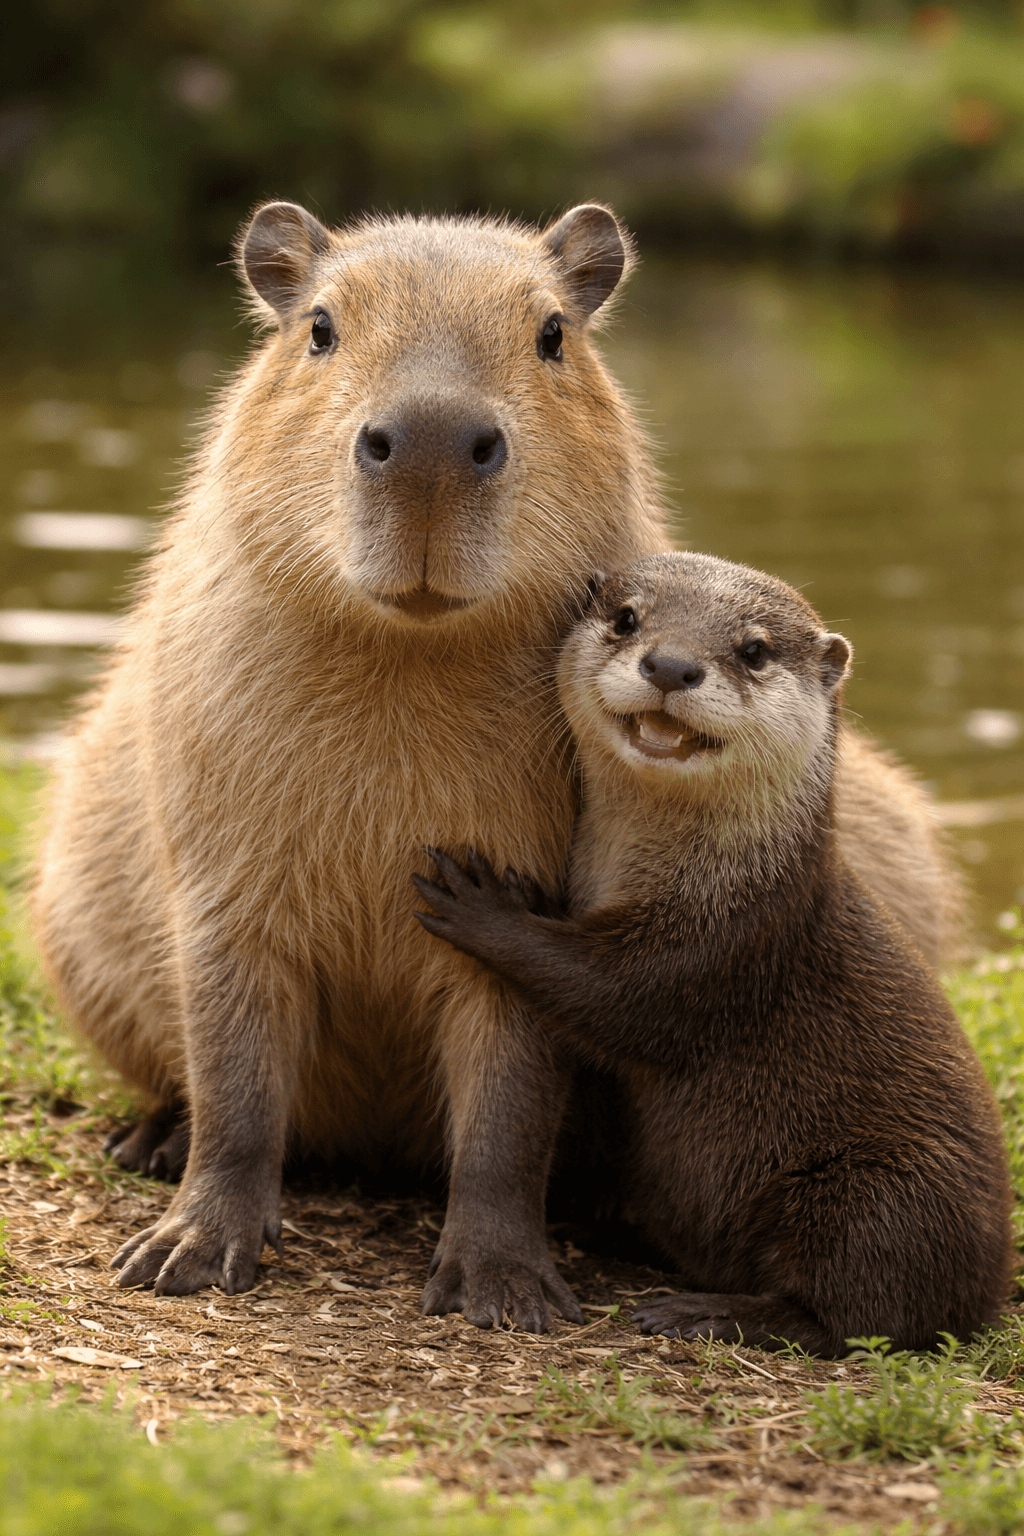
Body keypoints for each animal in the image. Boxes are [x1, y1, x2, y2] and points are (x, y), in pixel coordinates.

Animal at [34, 202, 962, 1324]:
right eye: (319, 326)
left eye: (554, 332)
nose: (432, 444)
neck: (406, 661)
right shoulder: (222, 877)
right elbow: (233, 1067)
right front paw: (188, 1248)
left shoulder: (535, 887)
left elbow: (511, 1092)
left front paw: (504, 1283)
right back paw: (152, 1138)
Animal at [413, 553, 1011, 1354]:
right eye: (626, 618)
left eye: (753, 650)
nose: (670, 665)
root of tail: (996, 1276)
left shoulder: (728, 941)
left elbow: (614, 994)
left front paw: (482, 907)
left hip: (885, 1194)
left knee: (862, 1316)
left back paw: (706, 1311)